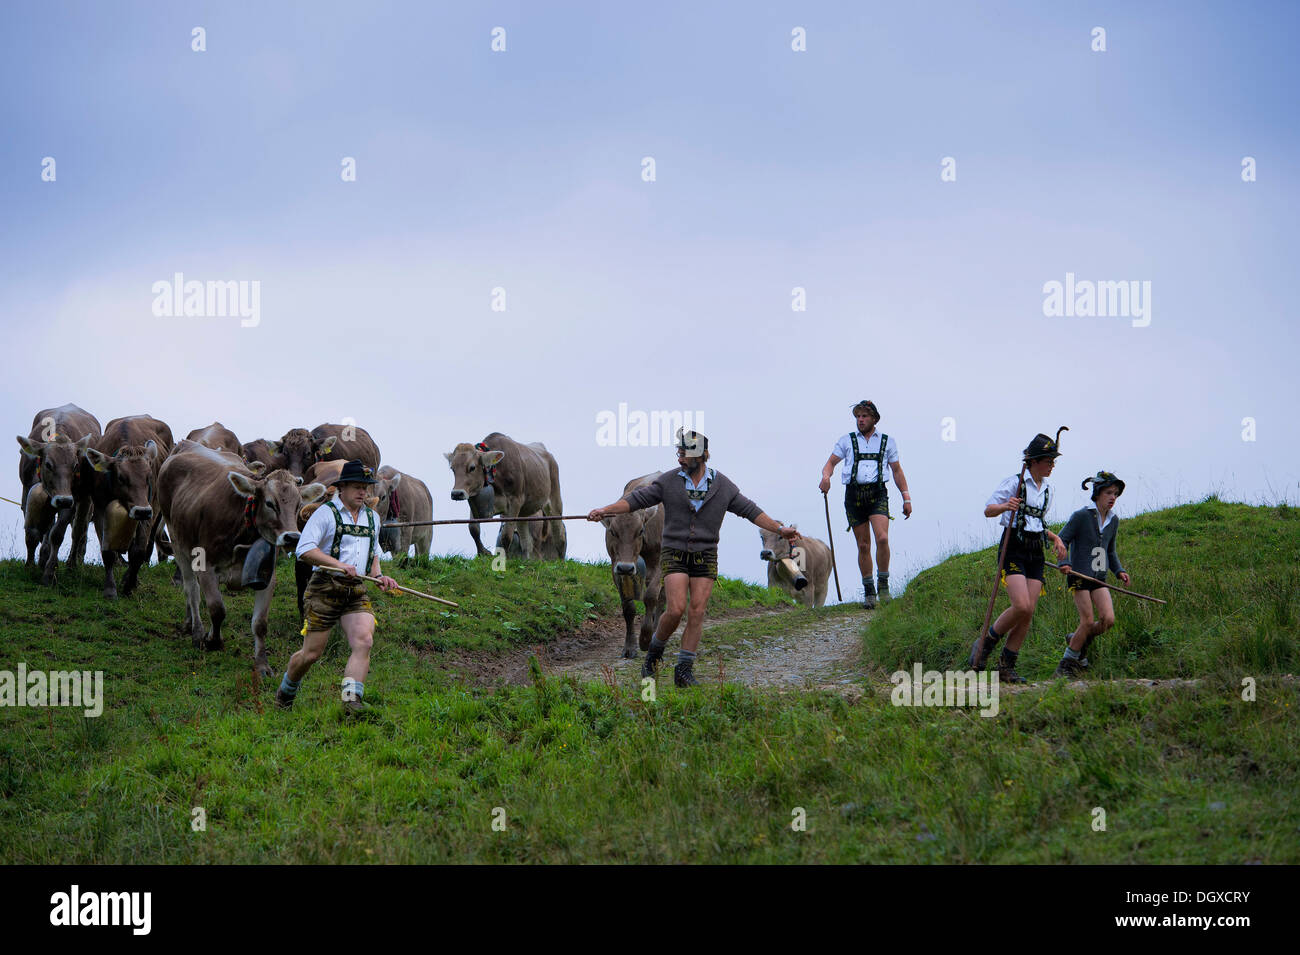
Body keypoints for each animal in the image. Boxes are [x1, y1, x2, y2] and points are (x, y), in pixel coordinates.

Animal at [15, 400, 100, 579]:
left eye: (75, 465)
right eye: (48, 464)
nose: (63, 500)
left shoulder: (71, 498)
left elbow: (57, 534)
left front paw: (49, 573)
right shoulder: (27, 492)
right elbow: (32, 534)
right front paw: (30, 565)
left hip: (84, 501)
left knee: (78, 531)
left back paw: (72, 563)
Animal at [85, 415, 174, 597]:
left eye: (148, 477)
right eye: (121, 477)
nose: (141, 511)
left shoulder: (149, 508)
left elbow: (138, 550)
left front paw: (129, 584)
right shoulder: (100, 508)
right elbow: (108, 552)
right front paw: (110, 589)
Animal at [158, 446, 323, 675]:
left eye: (298, 504)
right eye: (270, 503)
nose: (292, 537)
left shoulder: (267, 576)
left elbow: (260, 624)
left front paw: (262, 665)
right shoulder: (205, 566)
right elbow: (217, 608)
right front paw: (213, 640)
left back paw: (188, 621)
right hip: (178, 541)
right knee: (191, 590)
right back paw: (197, 631)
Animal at [444, 433, 561, 561]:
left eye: (472, 467)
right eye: (452, 468)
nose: (457, 493)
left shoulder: (515, 501)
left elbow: (506, 535)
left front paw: (502, 558)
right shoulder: (475, 499)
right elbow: (473, 529)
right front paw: (483, 552)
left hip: (554, 501)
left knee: (558, 532)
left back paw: (561, 559)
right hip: (523, 513)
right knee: (527, 540)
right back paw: (526, 560)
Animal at [600, 475, 665, 660]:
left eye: (640, 531)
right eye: (613, 531)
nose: (626, 568)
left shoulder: (660, 561)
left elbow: (651, 596)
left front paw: (645, 639)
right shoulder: (615, 565)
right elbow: (628, 607)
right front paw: (629, 647)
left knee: (662, 597)